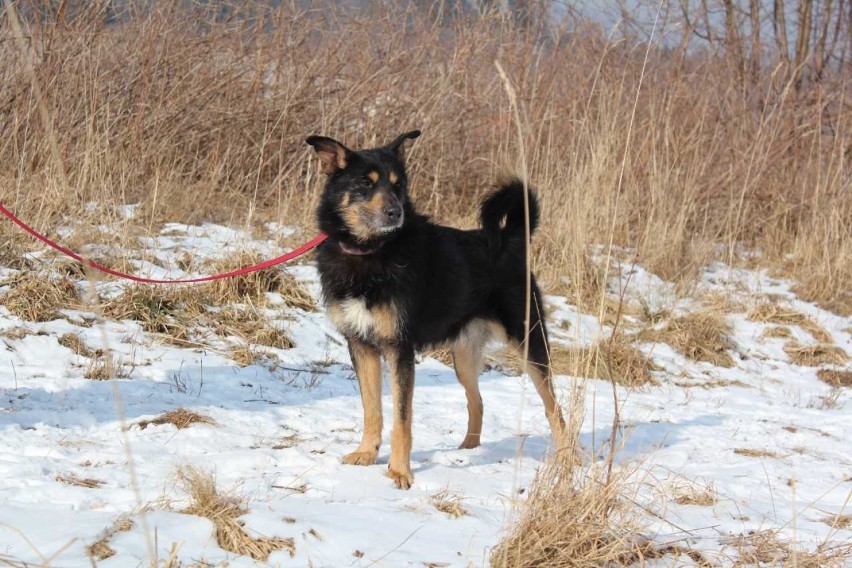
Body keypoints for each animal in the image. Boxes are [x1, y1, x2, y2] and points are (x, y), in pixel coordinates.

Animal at [302, 130, 564, 488]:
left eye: (398, 185)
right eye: (366, 184)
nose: (395, 212)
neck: (370, 251)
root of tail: (511, 240)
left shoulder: (399, 349)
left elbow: (402, 418)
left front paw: (399, 471)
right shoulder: (361, 346)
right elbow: (372, 409)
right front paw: (367, 453)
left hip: (530, 343)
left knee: (555, 409)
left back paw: (570, 458)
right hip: (464, 357)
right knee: (477, 401)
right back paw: (468, 449)